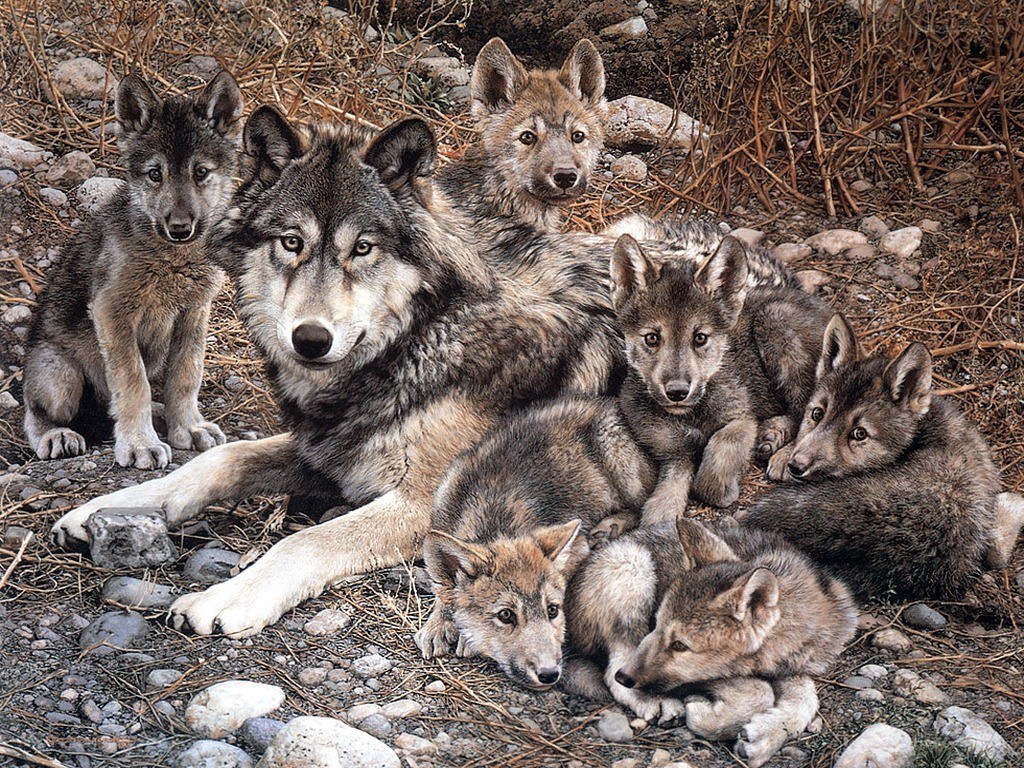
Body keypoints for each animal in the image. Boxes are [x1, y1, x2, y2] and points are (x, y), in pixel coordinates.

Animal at [23, 71, 243, 468]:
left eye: (201, 172)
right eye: (155, 174)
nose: (180, 228)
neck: (171, 259)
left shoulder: (194, 312)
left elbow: (185, 376)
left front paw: (188, 427)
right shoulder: (112, 312)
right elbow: (132, 383)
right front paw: (140, 444)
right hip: (59, 378)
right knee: (36, 413)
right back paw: (57, 435)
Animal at [51, 109, 622, 638]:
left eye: (362, 248)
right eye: (291, 242)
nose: (310, 339)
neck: (424, 335)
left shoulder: (426, 505)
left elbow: (303, 539)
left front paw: (227, 596)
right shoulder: (327, 448)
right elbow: (216, 461)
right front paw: (104, 509)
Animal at [414, 397, 654, 689]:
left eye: (553, 610)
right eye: (506, 615)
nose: (549, 674)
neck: (493, 516)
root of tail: (608, 402)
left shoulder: (577, 547)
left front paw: (464, 638)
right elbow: (443, 592)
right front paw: (437, 625)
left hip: (618, 458)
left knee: (641, 505)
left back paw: (609, 528)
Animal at [566, 517, 857, 767]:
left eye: (679, 645)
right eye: (655, 623)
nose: (624, 677)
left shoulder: (794, 666)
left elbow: (806, 700)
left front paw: (765, 736)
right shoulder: (706, 674)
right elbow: (760, 691)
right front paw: (707, 718)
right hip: (632, 568)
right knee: (610, 670)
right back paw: (654, 701)